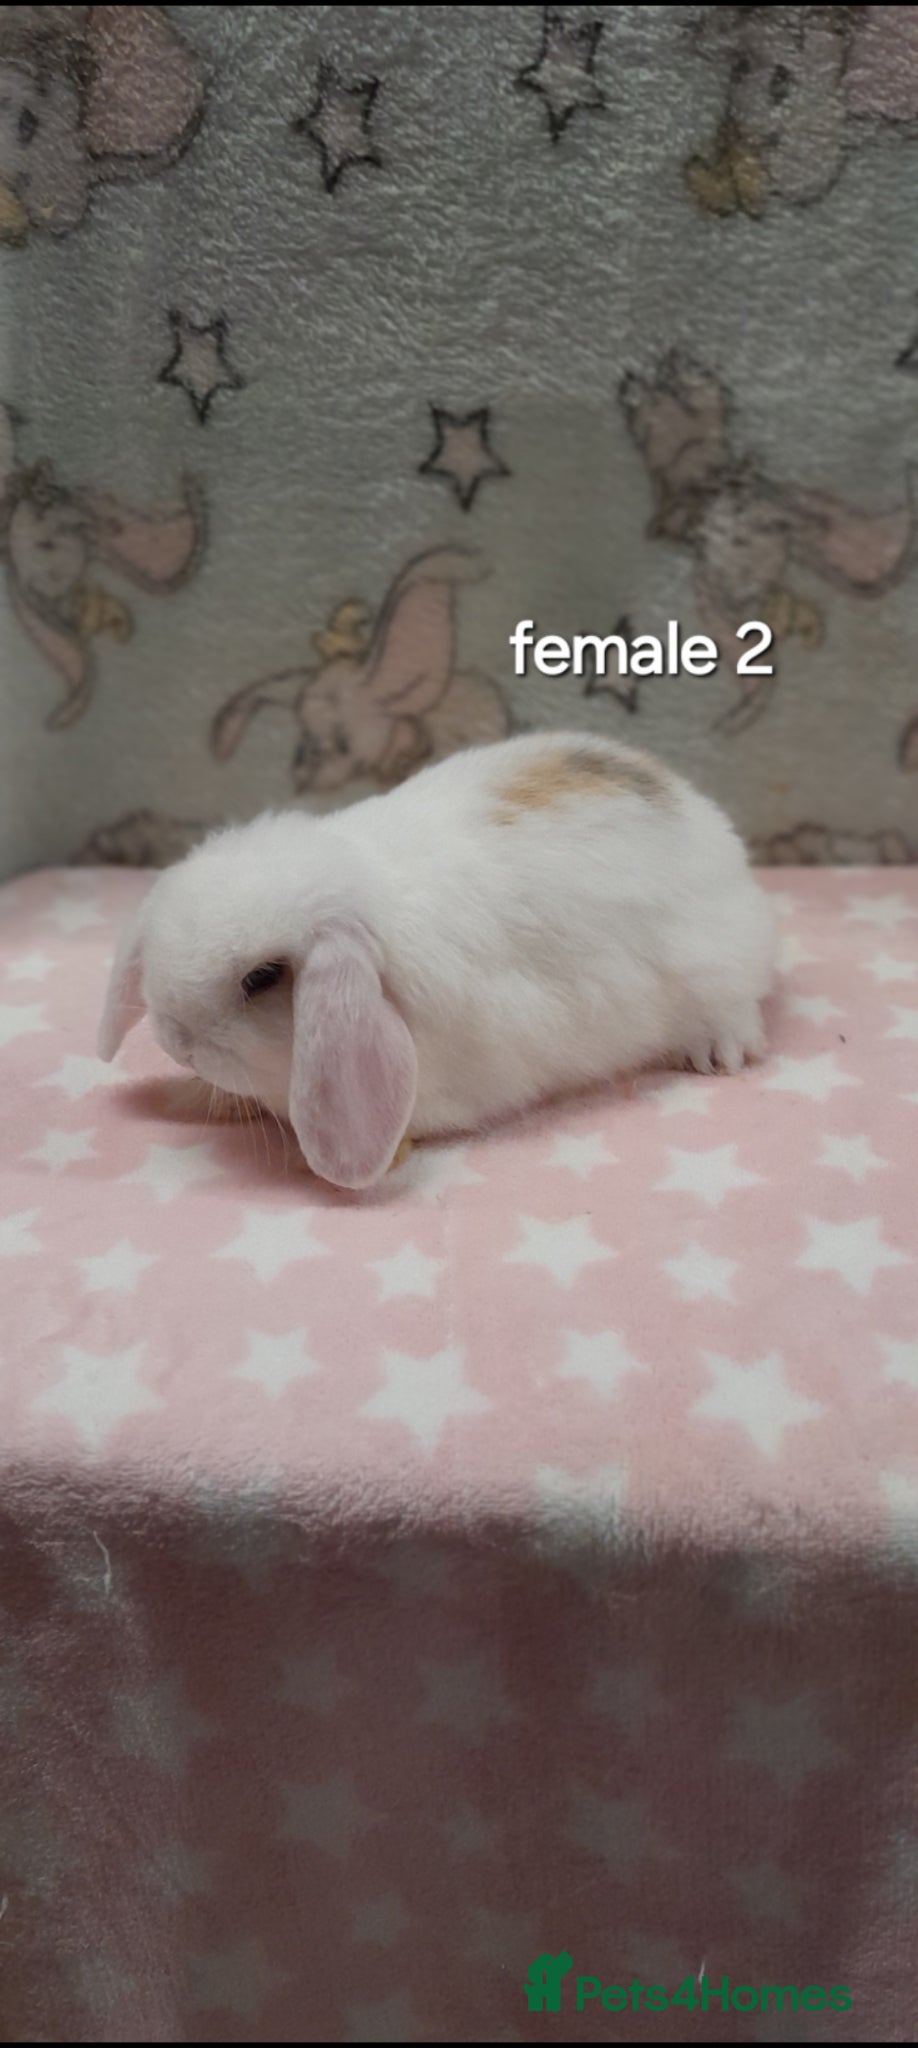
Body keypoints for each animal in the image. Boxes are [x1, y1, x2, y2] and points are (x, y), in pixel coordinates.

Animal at [98, 733, 776, 1192]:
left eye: (261, 978)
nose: (176, 1041)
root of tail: (710, 827)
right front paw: (183, 1097)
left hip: (718, 977)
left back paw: (713, 1054)